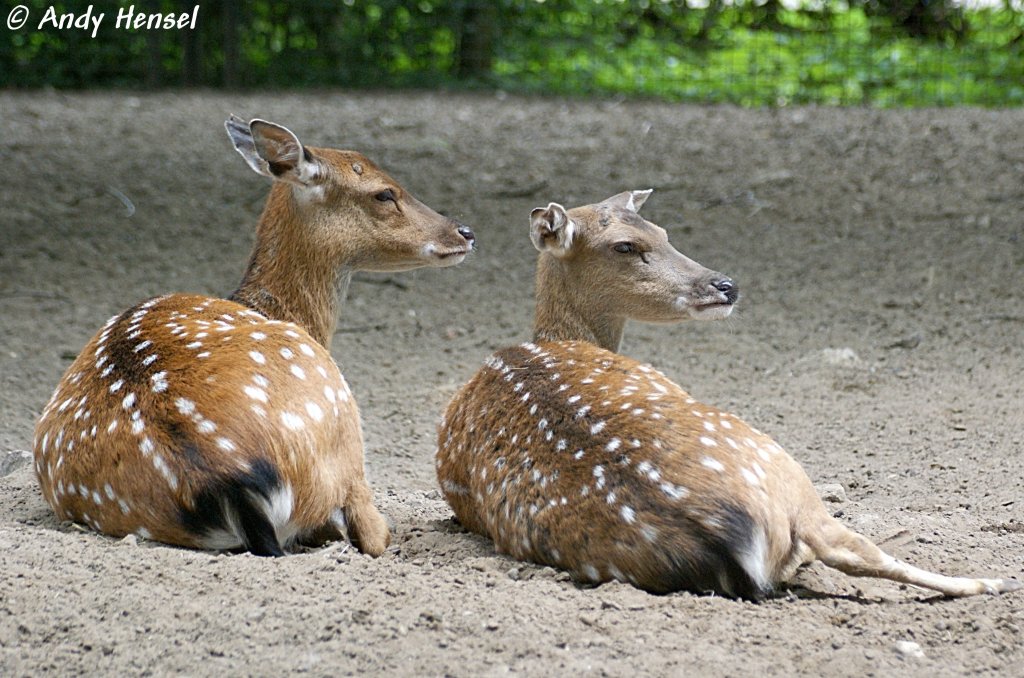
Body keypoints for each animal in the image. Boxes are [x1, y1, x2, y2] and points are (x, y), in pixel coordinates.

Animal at [33, 116, 475, 557]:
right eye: (384, 192)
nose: (465, 232)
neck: (278, 311)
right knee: (367, 525)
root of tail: (223, 481)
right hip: (341, 419)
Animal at [436, 191, 1019, 602]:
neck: (552, 341)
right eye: (625, 246)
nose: (725, 285)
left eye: (663, 230)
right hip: (779, 462)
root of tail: (727, 535)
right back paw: (991, 582)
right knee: (848, 547)